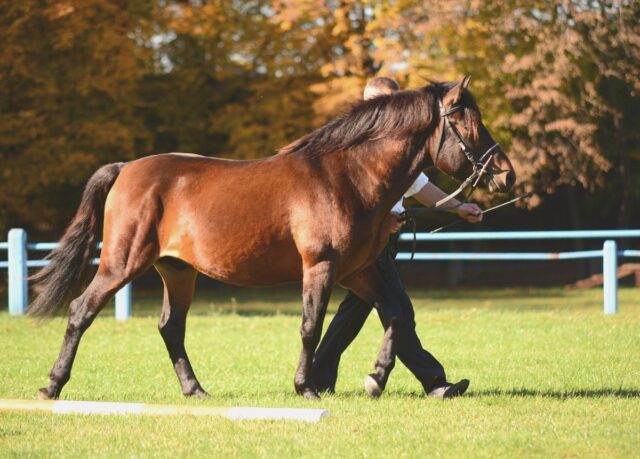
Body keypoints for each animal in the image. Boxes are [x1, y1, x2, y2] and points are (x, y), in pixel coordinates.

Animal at [28, 77, 516, 400]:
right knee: (81, 311)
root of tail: (126, 168)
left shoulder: (357, 272)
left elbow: (396, 316)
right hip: (122, 263)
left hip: (178, 271)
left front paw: (376, 378)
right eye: (468, 122)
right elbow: (311, 326)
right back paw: (52, 385)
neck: (347, 176)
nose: (506, 173)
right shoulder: (321, 266)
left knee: (171, 328)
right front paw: (306, 388)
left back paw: (195, 390)